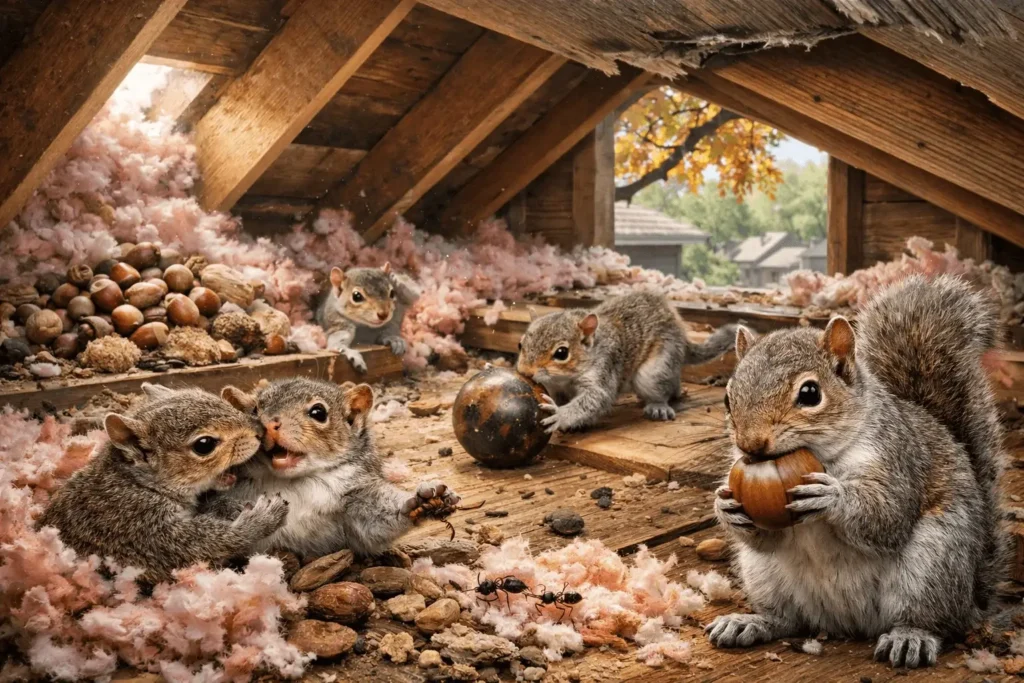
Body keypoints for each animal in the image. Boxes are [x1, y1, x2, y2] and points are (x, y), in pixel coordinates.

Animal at [37, 383, 288, 583]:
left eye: (221, 402)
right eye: (204, 445)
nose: (260, 430)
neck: (138, 484)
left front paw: (230, 506)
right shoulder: (141, 528)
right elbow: (208, 543)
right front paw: (263, 518)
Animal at [216, 377, 459, 559]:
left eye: (318, 412)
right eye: (254, 411)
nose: (269, 424)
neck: (293, 480)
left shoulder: (355, 497)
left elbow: (373, 527)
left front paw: (423, 499)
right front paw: (250, 518)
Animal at [516, 289, 736, 433]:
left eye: (561, 353)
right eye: (520, 344)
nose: (525, 372)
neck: (564, 379)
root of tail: (681, 332)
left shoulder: (603, 370)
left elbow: (596, 399)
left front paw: (560, 415)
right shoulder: (556, 388)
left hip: (656, 366)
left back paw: (658, 405)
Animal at [707, 274, 1007, 669]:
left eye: (810, 393)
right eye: (728, 398)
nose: (750, 445)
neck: (824, 456)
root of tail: (846, 623)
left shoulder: (896, 458)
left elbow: (888, 515)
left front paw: (831, 496)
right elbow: (765, 538)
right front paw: (725, 506)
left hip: (933, 565)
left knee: (933, 619)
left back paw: (910, 637)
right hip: (764, 576)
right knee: (787, 619)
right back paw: (751, 622)